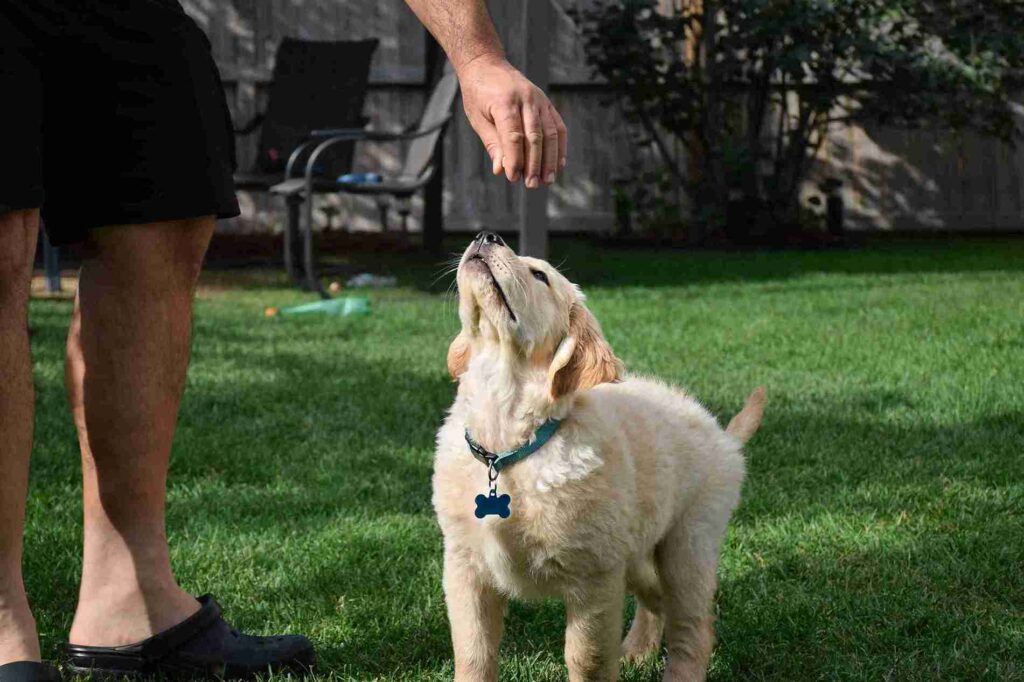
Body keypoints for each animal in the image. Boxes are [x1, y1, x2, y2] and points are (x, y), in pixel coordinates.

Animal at [432, 231, 761, 675]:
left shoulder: (593, 574)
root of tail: (722, 435)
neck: (508, 449)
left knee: (692, 629)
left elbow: (586, 658)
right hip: (636, 549)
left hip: (689, 543)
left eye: (540, 275)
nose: (488, 236)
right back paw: (636, 651)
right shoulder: (465, 565)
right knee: (655, 600)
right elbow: (473, 651)